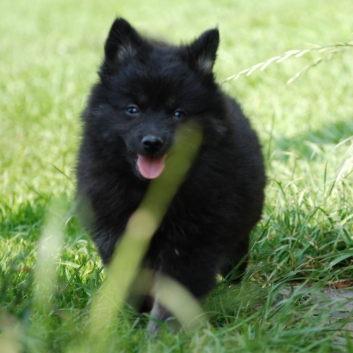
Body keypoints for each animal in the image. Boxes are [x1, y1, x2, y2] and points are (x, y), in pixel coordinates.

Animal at [77, 18, 264, 332]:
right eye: (133, 109)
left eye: (178, 113)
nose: (153, 142)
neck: (150, 190)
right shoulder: (116, 235)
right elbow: (133, 283)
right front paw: (132, 323)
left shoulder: (191, 242)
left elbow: (175, 291)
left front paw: (162, 332)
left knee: (235, 260)